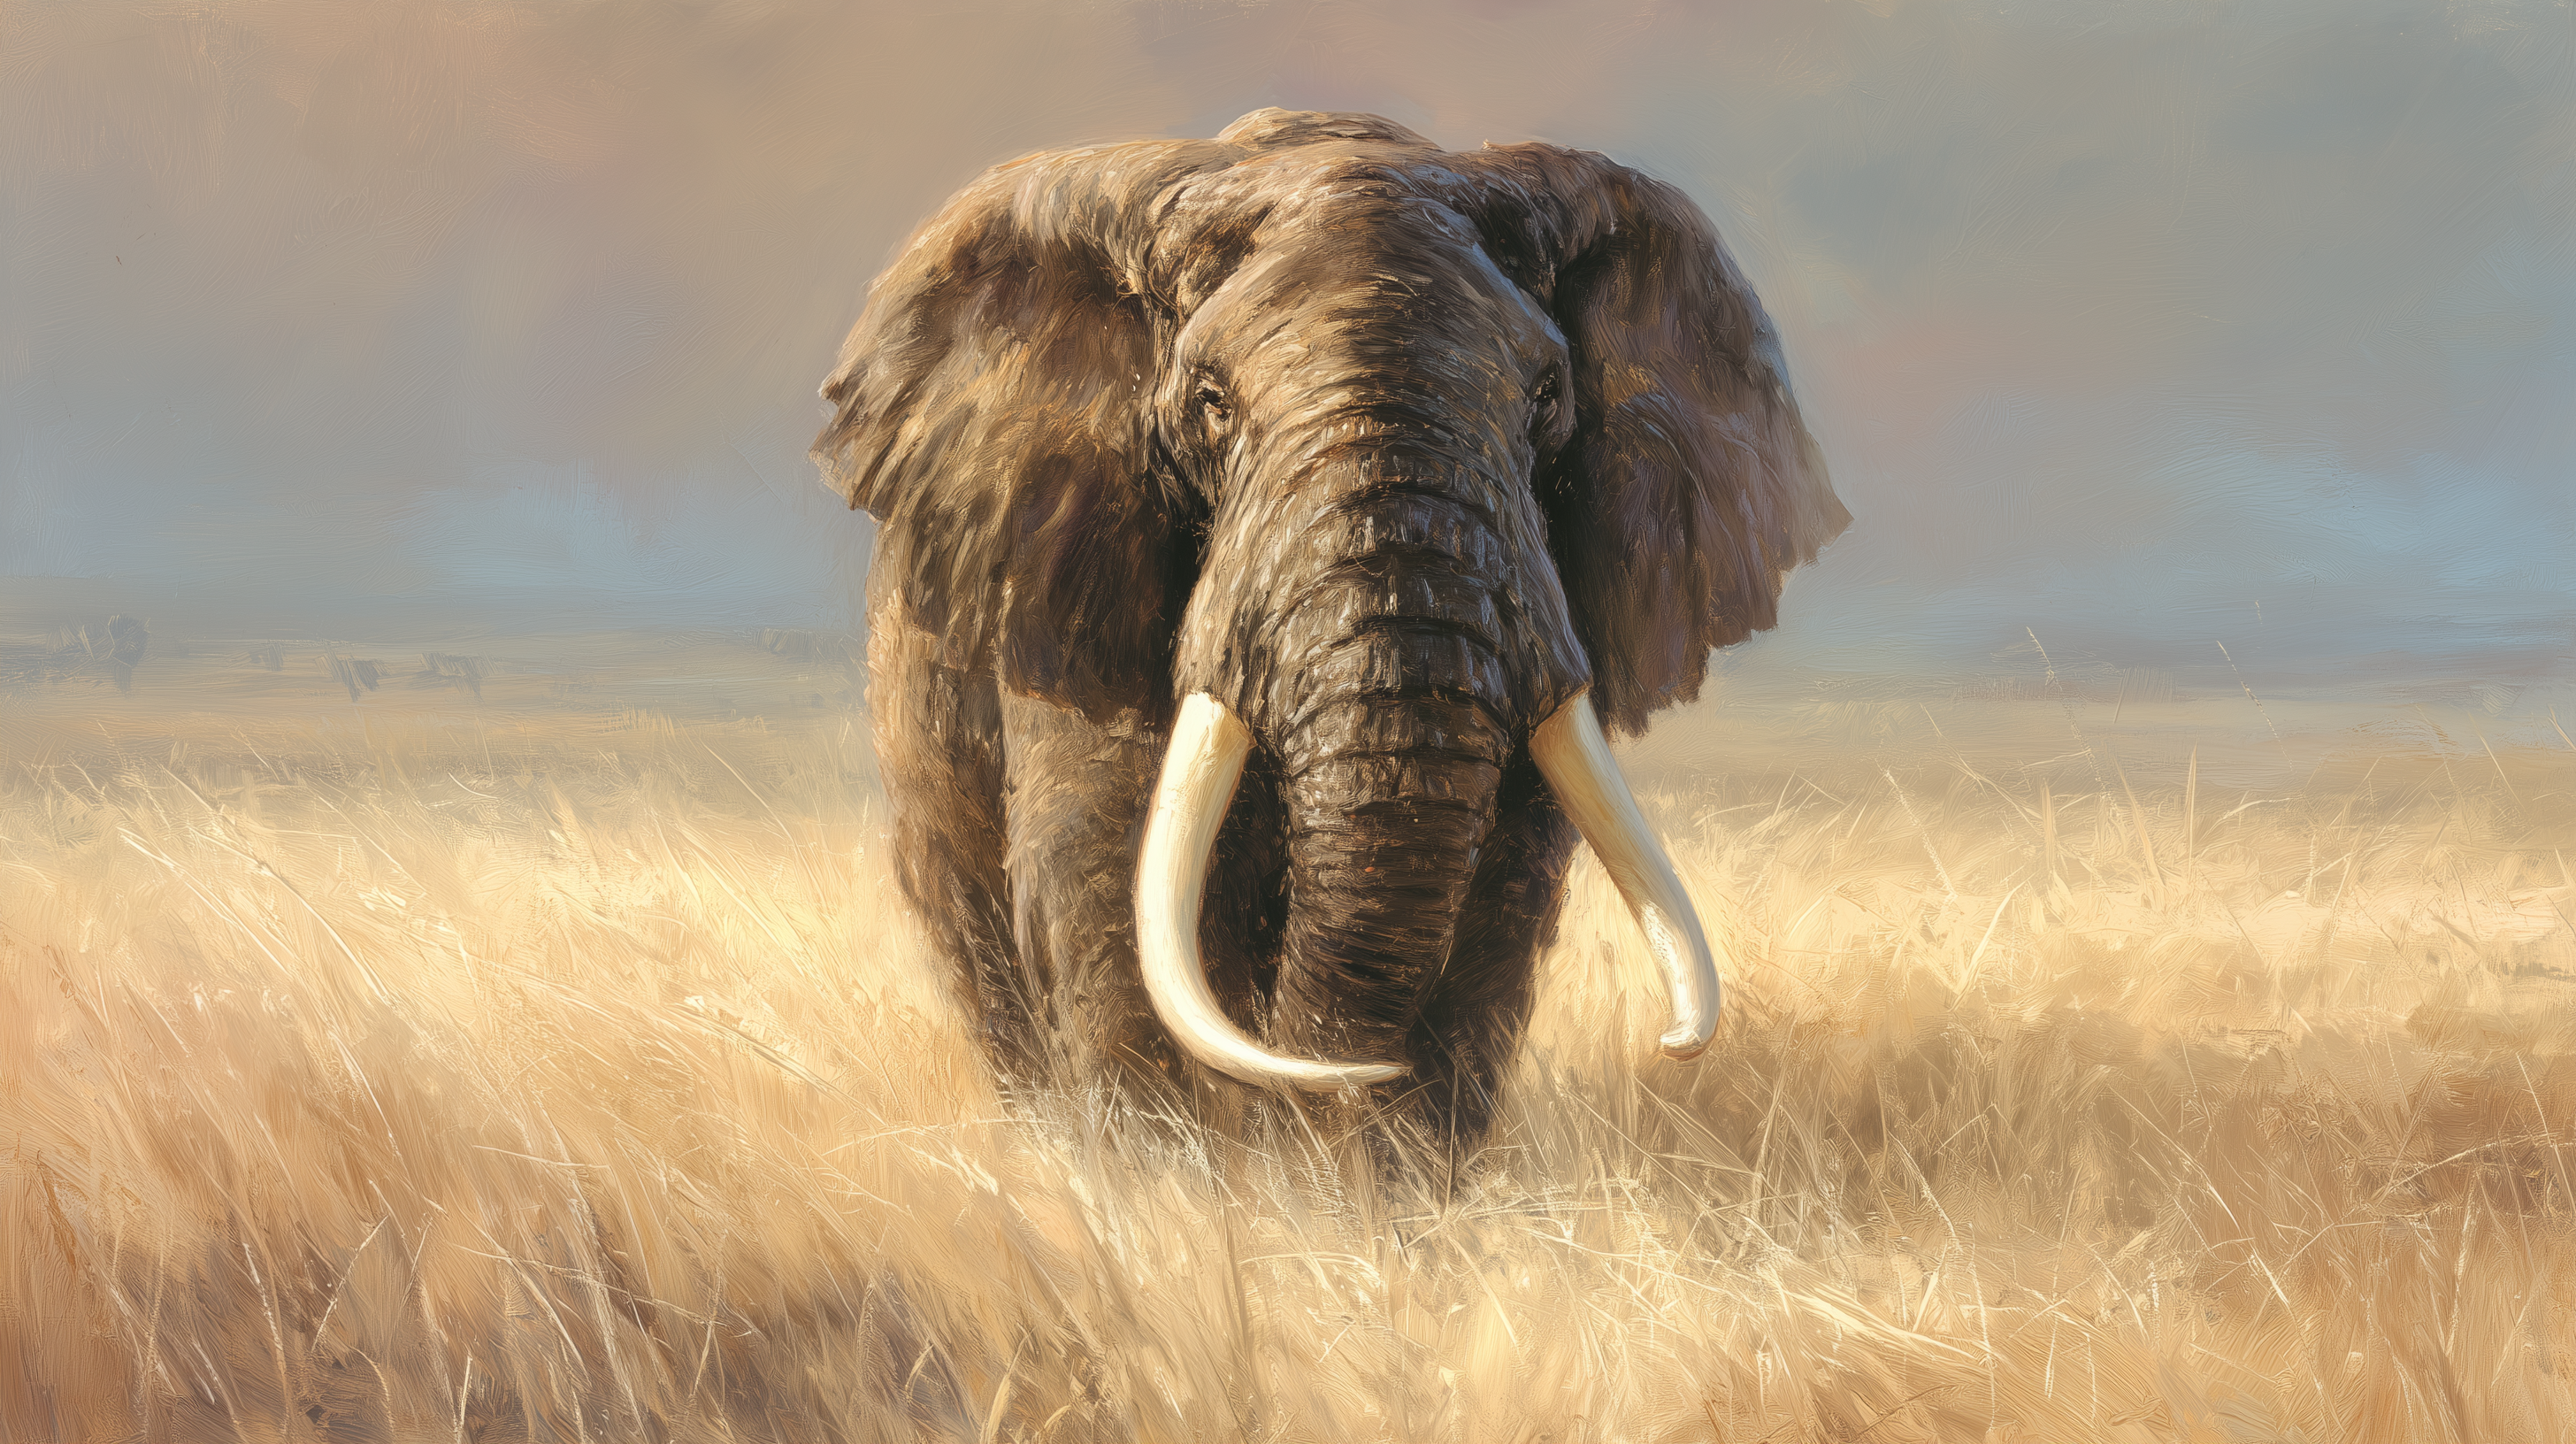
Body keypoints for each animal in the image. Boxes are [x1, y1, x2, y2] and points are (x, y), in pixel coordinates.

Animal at [811, 109, 1847, 1145]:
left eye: (1547, 399)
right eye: (1210, 403)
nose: (1674, 1048)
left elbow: (1499, 911)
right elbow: (1103, 885)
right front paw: (1188, 1178)